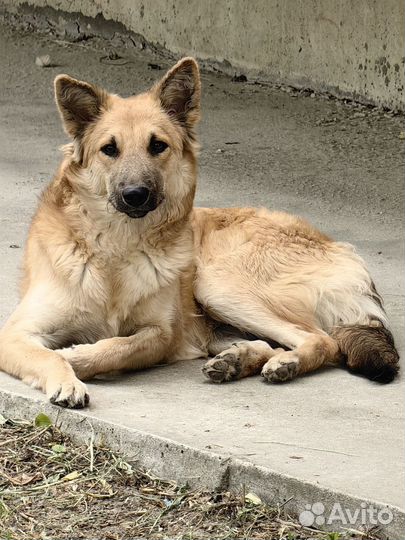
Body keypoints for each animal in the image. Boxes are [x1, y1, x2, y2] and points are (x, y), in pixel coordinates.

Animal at [0, 57, 398, 408]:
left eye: (157, 146)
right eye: (109, 149)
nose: (135, 195)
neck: (118, 246)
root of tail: (339, 247)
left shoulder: (162, 333)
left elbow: (121, 347)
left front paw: (78, 357)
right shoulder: (16, 333)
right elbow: (49, 355)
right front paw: (67, 377)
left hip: (218, 283)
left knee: (321, 340)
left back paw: (286, 362)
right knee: (273, 344)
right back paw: (238, 361)